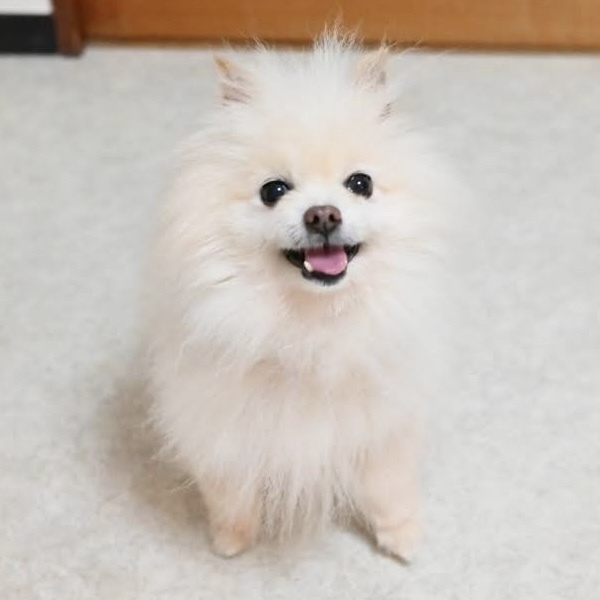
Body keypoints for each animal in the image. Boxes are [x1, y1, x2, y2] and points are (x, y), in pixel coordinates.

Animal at [145, 31, 461, 561]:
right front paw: (232, 540)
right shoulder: (220, 423)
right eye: (273, 190)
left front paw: (401, 537)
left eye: (360, 184)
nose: (323, 215)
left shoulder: (383, 426)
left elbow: (388, 488)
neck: (311, 323)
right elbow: (231, 491)